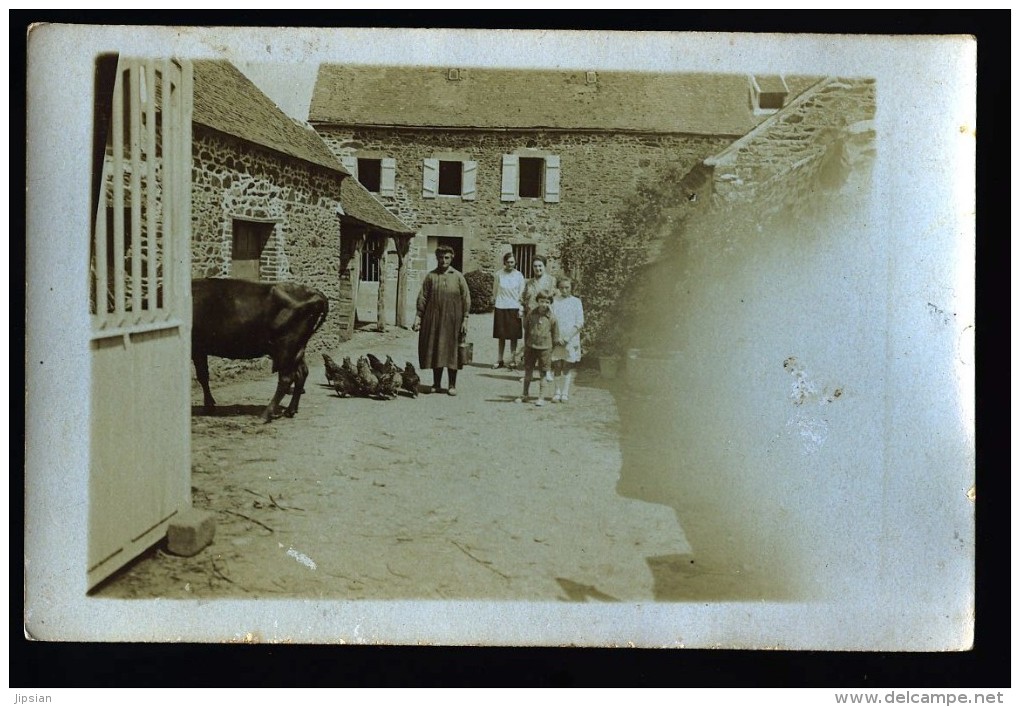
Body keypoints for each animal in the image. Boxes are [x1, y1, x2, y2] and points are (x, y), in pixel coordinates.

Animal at [192, 279, 328, 422]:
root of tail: (314, 292)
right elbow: (203, 376)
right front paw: (209, 405)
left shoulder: (197, 348)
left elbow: (202, 376)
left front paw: (208, 406)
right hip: (298, 349)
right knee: (302, 373)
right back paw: (290, 410)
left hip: (287, 347)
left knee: (286, 379)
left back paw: (265, 415)